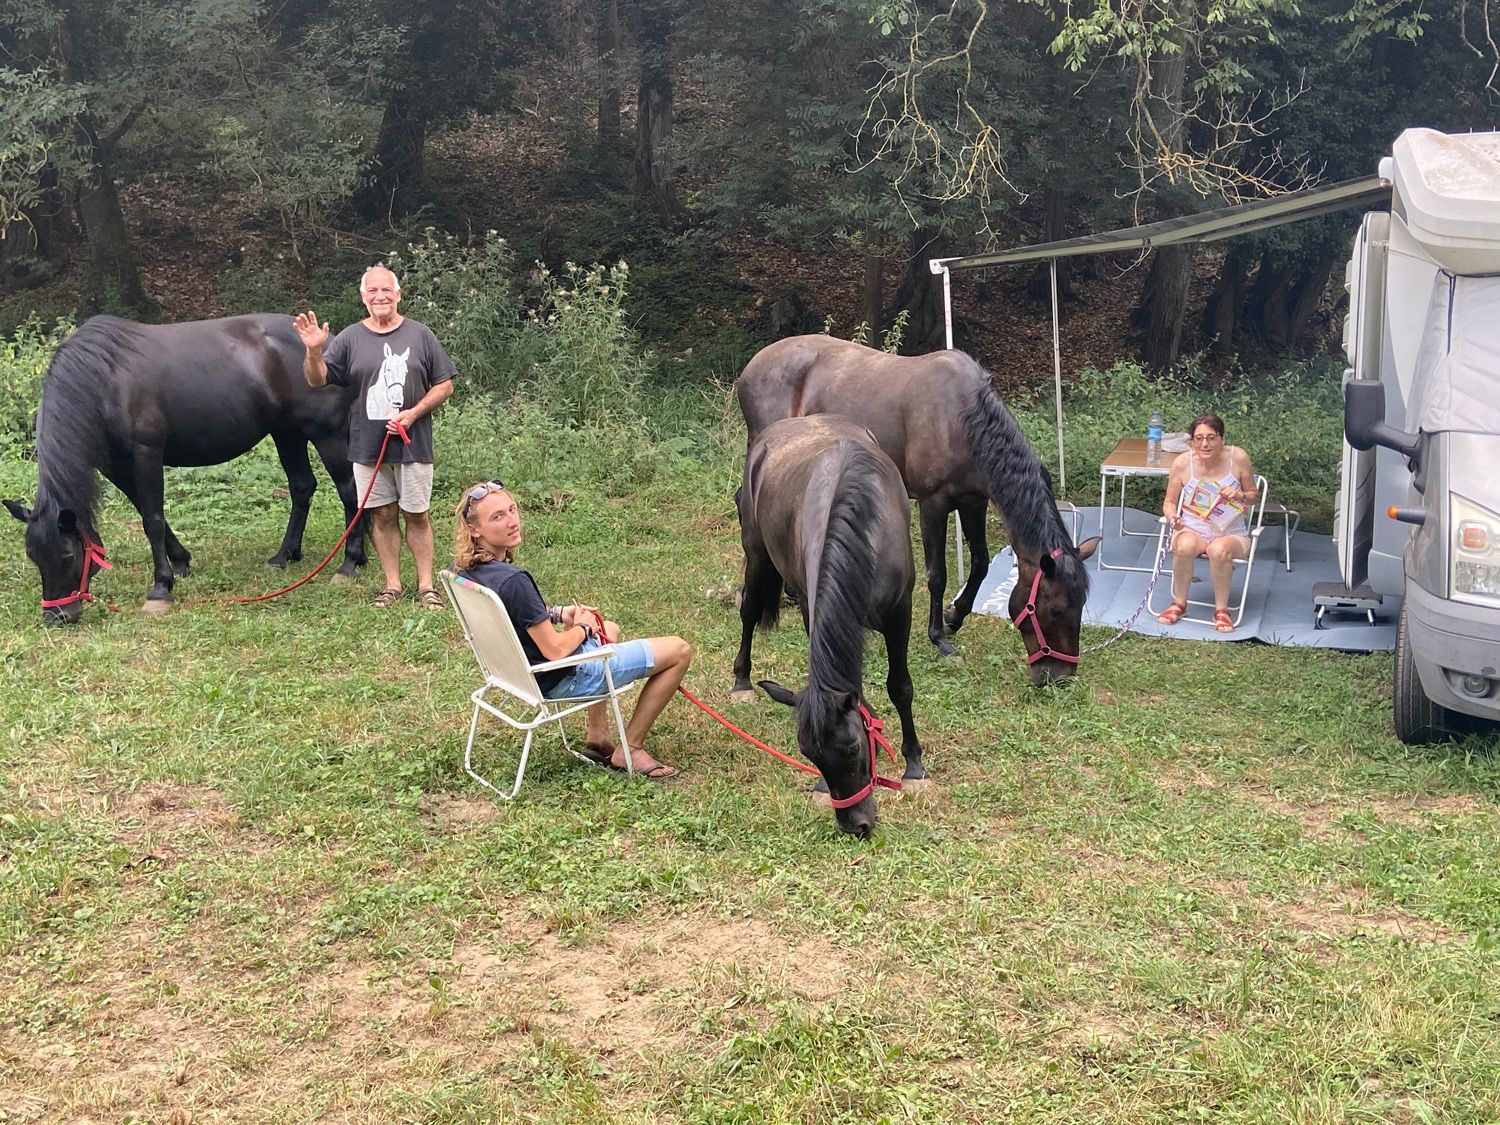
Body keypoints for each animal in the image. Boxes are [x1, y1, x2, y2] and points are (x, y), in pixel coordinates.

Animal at [4, 314, 366, 624]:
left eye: (67, 556)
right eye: (33, 556)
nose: (57, 616)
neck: (105, 381)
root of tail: (334, 346)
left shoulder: (146, 453)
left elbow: (151, 519)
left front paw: (161, 589)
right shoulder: (115, 465)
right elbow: (150, 514)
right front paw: (180, 562)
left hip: (326, 435)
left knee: (349, 490)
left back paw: (350, 562)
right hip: (287, 433)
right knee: (302, 486)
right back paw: (285, 555)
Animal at [732, 413, 924, 838]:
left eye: (852, 748)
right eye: (809, 754)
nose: (856, 826)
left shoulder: (901, 613)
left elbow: (900, 687)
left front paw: (915, 766)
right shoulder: (810, 606)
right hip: (757, 556)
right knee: (749, 612)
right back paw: (741, 681)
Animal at [736, 334, 1100, 683]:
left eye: (1082, 606)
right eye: (1054, 610)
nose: (1060, 676)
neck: (962, 418)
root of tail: (752, 366)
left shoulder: (973, 502)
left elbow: (981, 563)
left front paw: (955, 616)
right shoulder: (933, 504)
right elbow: (937, 574)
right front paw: (939, 638)